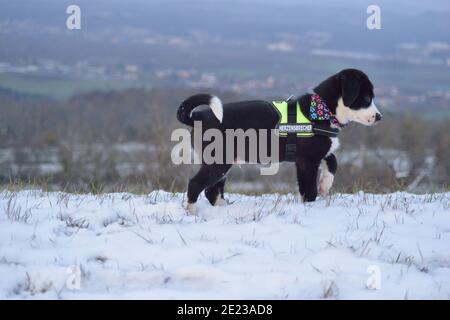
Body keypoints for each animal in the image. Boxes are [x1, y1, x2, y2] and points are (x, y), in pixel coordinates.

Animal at [178, 69, 382, 214]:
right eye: (366, 98)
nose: (379, 117)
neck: (322, 109)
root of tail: (201, 115)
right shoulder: (307, 162)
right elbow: (309, 189)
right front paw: (310, 207)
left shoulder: (317, 153)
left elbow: (332, 161)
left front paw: (325, 184)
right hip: (218, 162)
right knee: (196, 184)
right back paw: (192, 213)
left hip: (222, 162)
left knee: (212, 190)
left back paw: (223, 209)